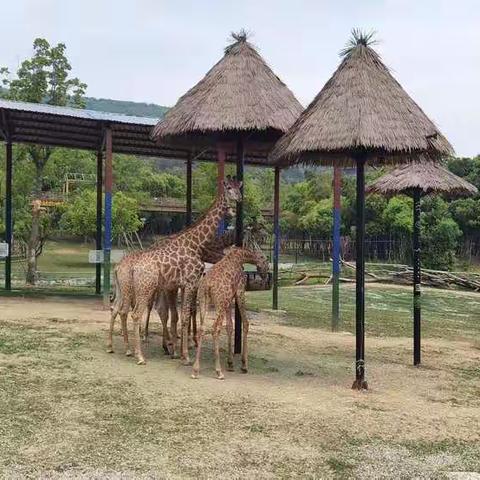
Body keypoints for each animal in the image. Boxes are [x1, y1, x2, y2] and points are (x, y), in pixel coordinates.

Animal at [106, 176, 240, 364]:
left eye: (238, 187)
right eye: (228, 188)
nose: (239, 199)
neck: (194, 243)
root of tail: (118, 267)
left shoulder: (176, 285)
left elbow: (176, 314)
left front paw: (176, 349)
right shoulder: (189, 283)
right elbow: (182, 315)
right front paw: (184, 354)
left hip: (125, 288)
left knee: (117, 309)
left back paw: (115, 347)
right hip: (141, 289)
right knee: (132, 313)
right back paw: (138, 354)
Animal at [192, 248, 270, 378]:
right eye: (265, 259)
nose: (265, 272)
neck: (241, 256)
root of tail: (208, 286)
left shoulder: (229, 299)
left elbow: (229, 326)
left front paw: (230, 363)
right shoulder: (240, 291)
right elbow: (246, 323)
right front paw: (244, 365)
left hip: (204, 301)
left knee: (202, 328)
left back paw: (195, 370)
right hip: (220, 303)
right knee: (215, 328)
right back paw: (218, 371)